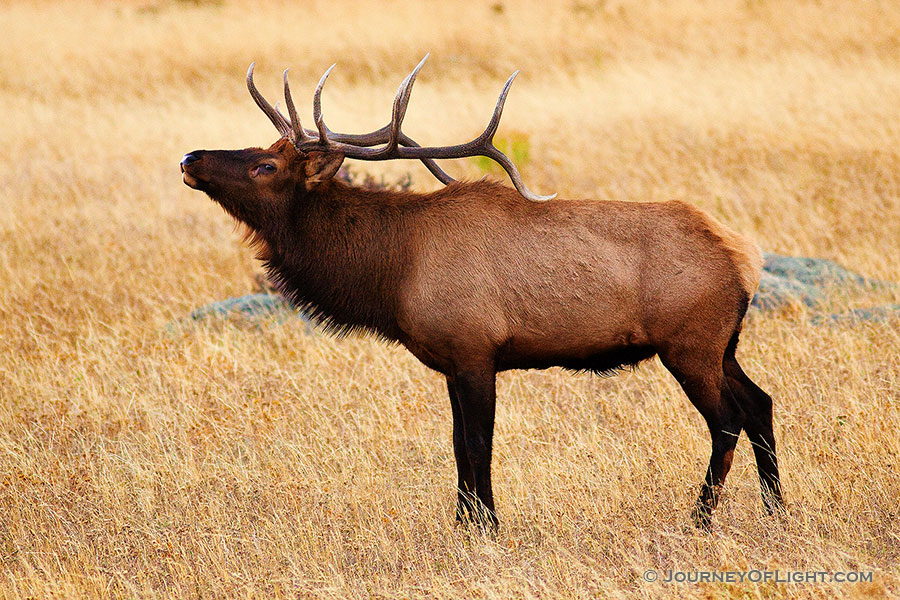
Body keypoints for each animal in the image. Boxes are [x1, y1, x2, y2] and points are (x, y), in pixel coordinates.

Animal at [181, 54, 780, 528]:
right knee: (760, 402)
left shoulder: (475, 350)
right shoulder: (449, 361)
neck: (393, 271)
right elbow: (456, 447)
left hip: (690, 343)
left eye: (266, 165)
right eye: (261, 146)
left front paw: (487, 528)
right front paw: (462, 524)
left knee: (726, 420)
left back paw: (700, 518)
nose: (190, 158)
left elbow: (478, 445)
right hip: (724, 344)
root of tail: (744, 256)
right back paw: (777, 508)